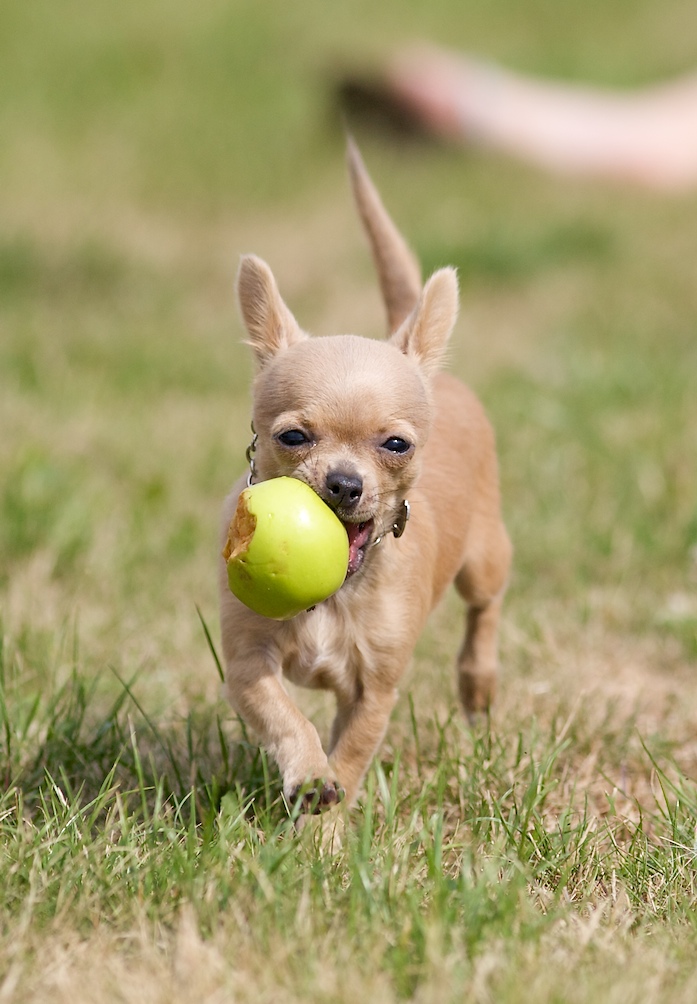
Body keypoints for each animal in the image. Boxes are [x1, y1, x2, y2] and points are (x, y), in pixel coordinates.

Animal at [219, 141, 514, 815]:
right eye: (293, 437)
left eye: (395, 445)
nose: (344, 485)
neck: (334, 597)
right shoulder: (248, 665)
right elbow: (289, 721)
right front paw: (309, 776)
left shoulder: (374, 691)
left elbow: (350, 759)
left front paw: (326, 828)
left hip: (485, 557)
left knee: (485, 606)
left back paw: (478, 681)